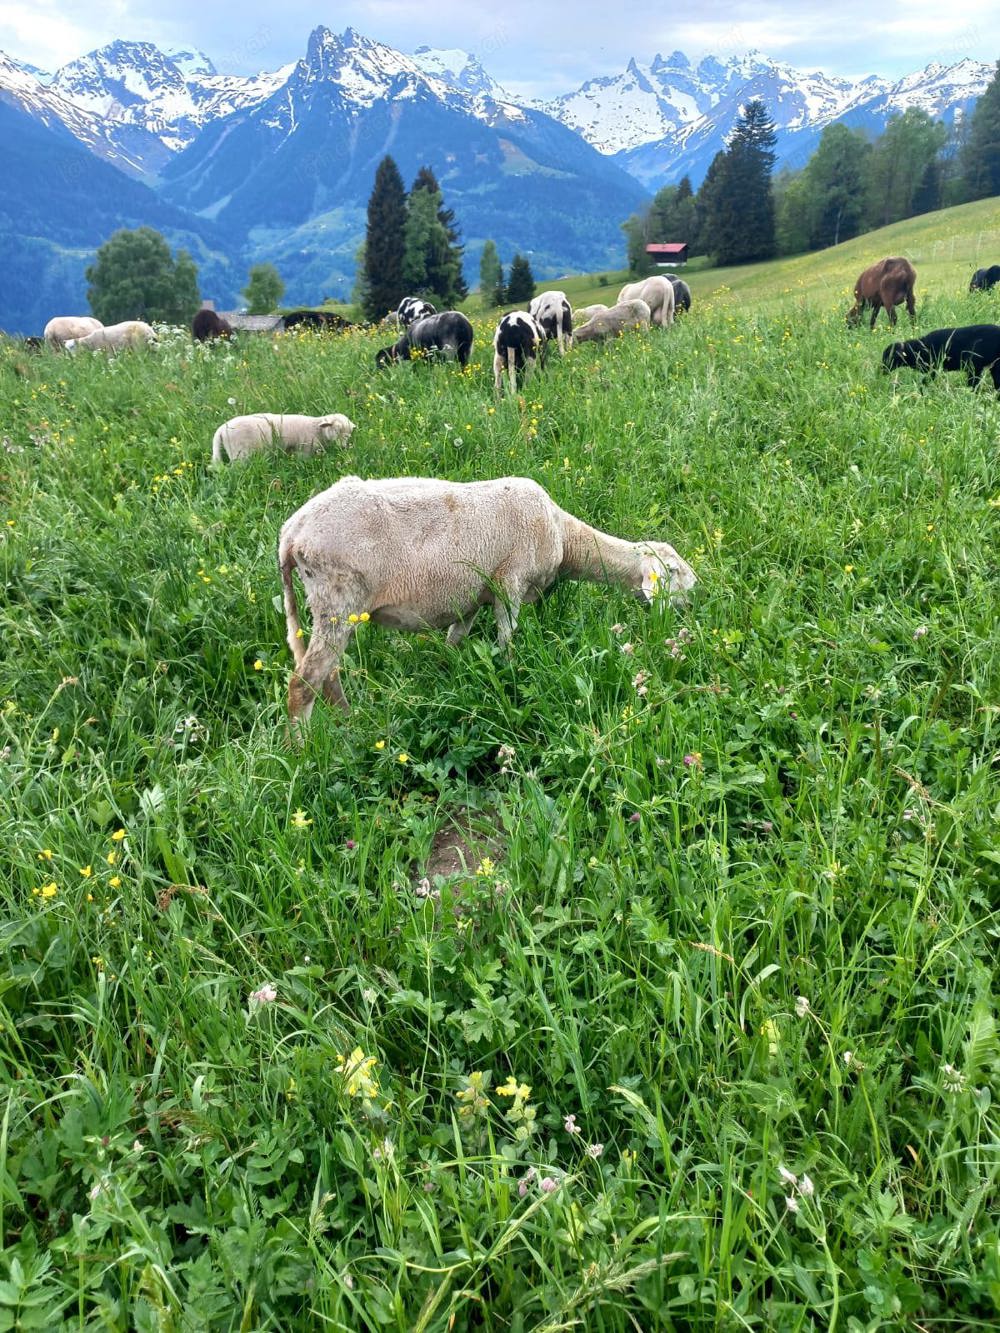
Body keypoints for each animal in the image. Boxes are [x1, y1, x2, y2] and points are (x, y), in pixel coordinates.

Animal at [209, 410, 357, 463]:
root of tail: (221, 429)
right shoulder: (304, 449)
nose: (343, 447)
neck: (317, 429)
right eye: (336, 430)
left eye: (348, 435)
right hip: (239, 453)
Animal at [274, 477, 698, 725]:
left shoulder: (472, 597)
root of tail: (292, 533)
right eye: (674, 570)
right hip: (337, 597)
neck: (564, 536)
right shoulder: (509, 583)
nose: (696, 602)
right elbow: (506, 641)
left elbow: (454, 642)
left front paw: (453, 679)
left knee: (327, 677)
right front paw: (510, 679)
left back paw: (351, 724)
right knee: (303, 683)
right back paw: (305, 753)